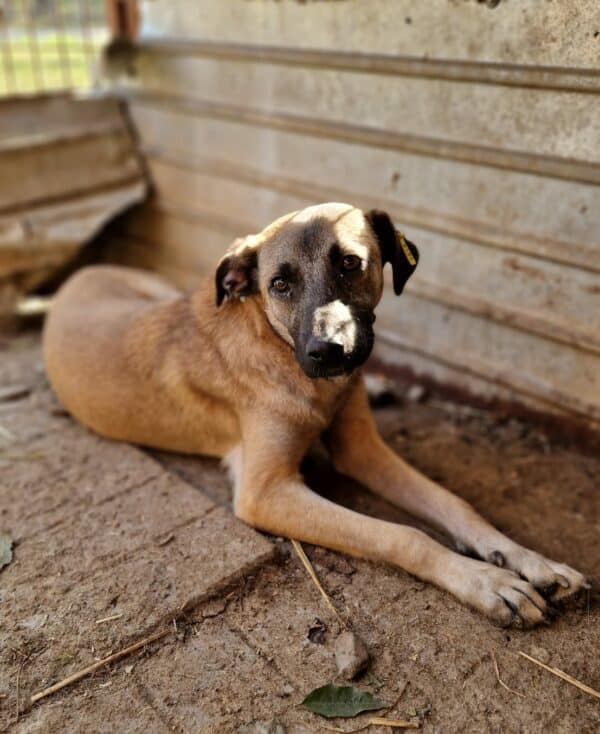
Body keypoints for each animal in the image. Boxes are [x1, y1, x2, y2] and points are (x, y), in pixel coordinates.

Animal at [44, 204, 588, 628]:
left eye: (351, 263)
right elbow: (404, 535)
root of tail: (75, 278)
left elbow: (455, 504)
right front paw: (487, 582)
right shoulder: (266, 493)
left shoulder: (362, 450)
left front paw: (528, 559)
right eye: (280, 284)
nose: (329, 351)